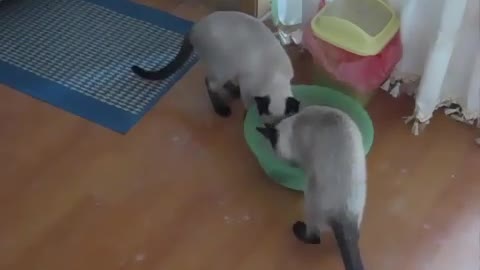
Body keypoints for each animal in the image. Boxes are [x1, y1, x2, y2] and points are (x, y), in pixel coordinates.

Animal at [130, 10, 296, 122]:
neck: (275, 79)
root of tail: (195, 26)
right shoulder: (248, 87)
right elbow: (248, 105)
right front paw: (245, 118)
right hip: (224, 67)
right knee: (209, 83)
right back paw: (221, 109)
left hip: (230, 67)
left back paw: (233, 92)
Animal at [256, 106, 366, 270]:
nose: (276, 155)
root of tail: (343, 217)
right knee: (356, 236)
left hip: (310, 195)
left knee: (315, 237)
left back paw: (298, 229)